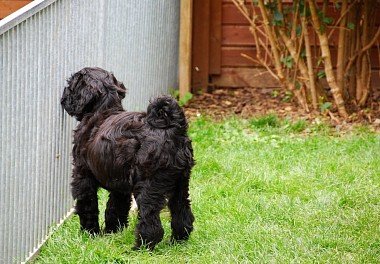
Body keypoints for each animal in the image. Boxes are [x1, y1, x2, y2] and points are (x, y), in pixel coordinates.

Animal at [61, 66, 196, 250]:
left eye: (71, 85)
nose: (63, 98)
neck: (103, 110)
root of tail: (172, 128)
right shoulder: (120, 185)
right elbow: (115, 207)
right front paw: (112, 232)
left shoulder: (82, 176)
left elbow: (88, 206)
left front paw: (90, 233)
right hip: (181, 182)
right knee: (183, 213)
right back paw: (177, 242)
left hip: (149, 186)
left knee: (150, 221)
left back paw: (141, 247)